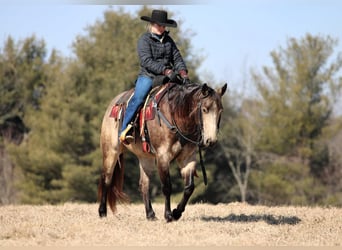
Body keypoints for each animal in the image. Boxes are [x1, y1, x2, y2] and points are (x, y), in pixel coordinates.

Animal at [98, 80, 227, 223]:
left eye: (220, 110)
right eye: (205, 109)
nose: (211, 140)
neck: (175, 114)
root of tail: (113, 105)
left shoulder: (187, 158)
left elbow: (189, 188)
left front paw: (177, 213)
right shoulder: (163, 157)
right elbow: (167, 187)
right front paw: (169, 215)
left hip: (145, 158)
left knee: (144, 184)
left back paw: (150, 214)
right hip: (111, 151)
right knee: (106, 179)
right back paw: (102, 212)